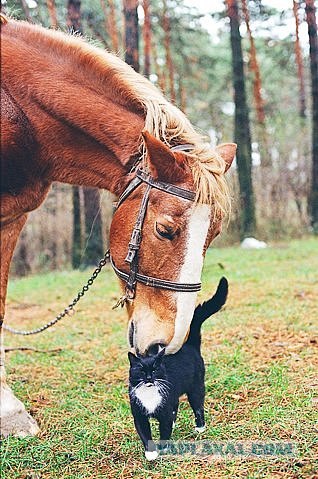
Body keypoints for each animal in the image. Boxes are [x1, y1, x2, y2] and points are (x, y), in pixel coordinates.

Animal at [127, 278, 229, 462]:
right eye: (141, 370)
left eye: (155, 369)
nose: (149, 378)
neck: (149, 396)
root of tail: (190, 344)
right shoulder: (139, 414)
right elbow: (144, 433)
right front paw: (150, 454)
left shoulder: (164, 410)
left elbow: (165, 429)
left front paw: (163, 448)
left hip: (196, 387)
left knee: (197, 405)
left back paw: (200, 427)